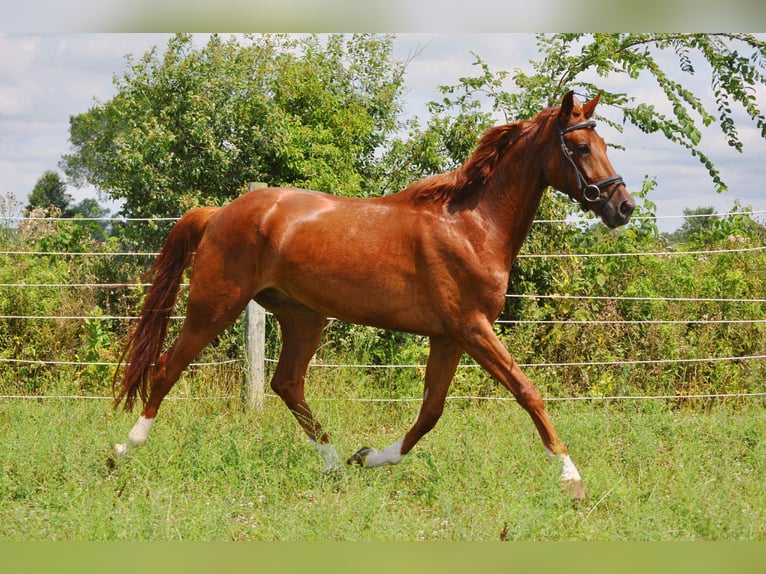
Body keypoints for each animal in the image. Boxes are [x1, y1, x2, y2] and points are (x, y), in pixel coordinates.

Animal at [112, 91, 635, 500]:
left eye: (604, 144)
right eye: (579, 146)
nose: (623, 206)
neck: (471, 226)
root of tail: (219, 213)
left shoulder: (448, 337)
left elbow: (430, 412)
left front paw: (369, 456)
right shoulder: (471, 327)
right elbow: (528, 392)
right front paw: (572, 479)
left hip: (304, 317)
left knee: (287, 383)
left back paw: (334, 464)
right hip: (215, 305)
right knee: (168, 367)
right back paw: (122, 450)